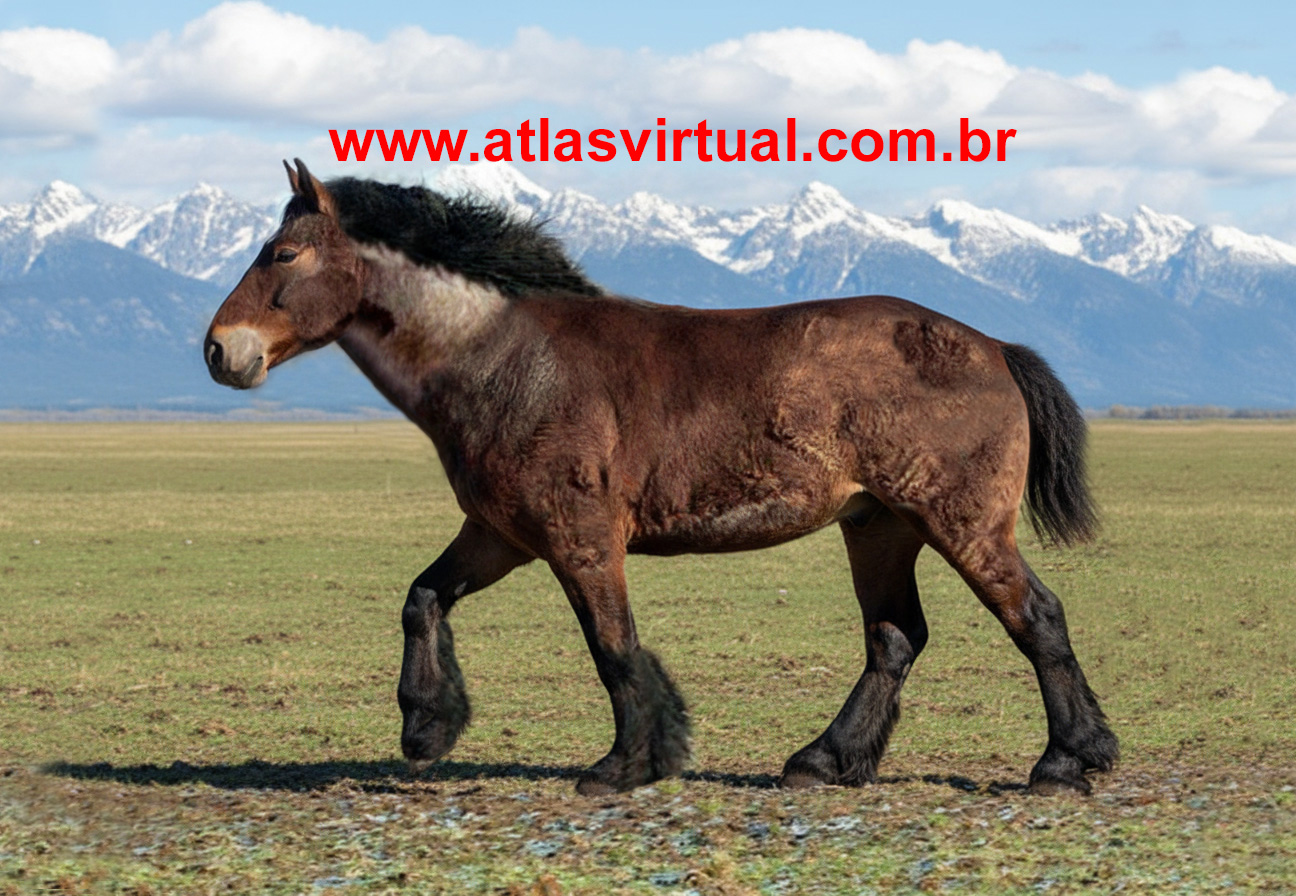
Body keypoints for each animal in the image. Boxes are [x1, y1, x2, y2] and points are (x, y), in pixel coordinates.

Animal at [204, 159, 1117, 796]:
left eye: (283, 253)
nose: (220, 350)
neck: (507, 359)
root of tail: (994, 347)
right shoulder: (500, 535)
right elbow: (422, 598)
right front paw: (428, 729)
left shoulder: (579, 540)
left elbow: (612, 646)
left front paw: (626, 763)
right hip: (879, 528)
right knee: (894, 639)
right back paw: (823, 760)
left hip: (961, 525)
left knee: (1036, 617)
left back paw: (1066, 763)